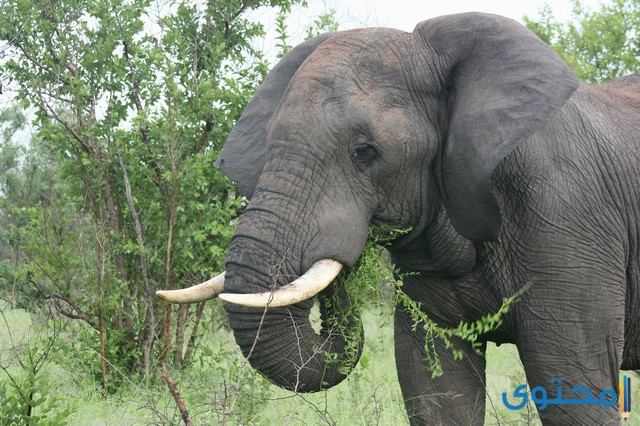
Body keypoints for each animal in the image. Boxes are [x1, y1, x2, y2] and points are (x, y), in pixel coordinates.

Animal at [156, 11, 640, 424]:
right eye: (270, 142)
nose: (345, 262)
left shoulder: (566, 215)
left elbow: (572, 388)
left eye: (365, 153)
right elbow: (436, 390)